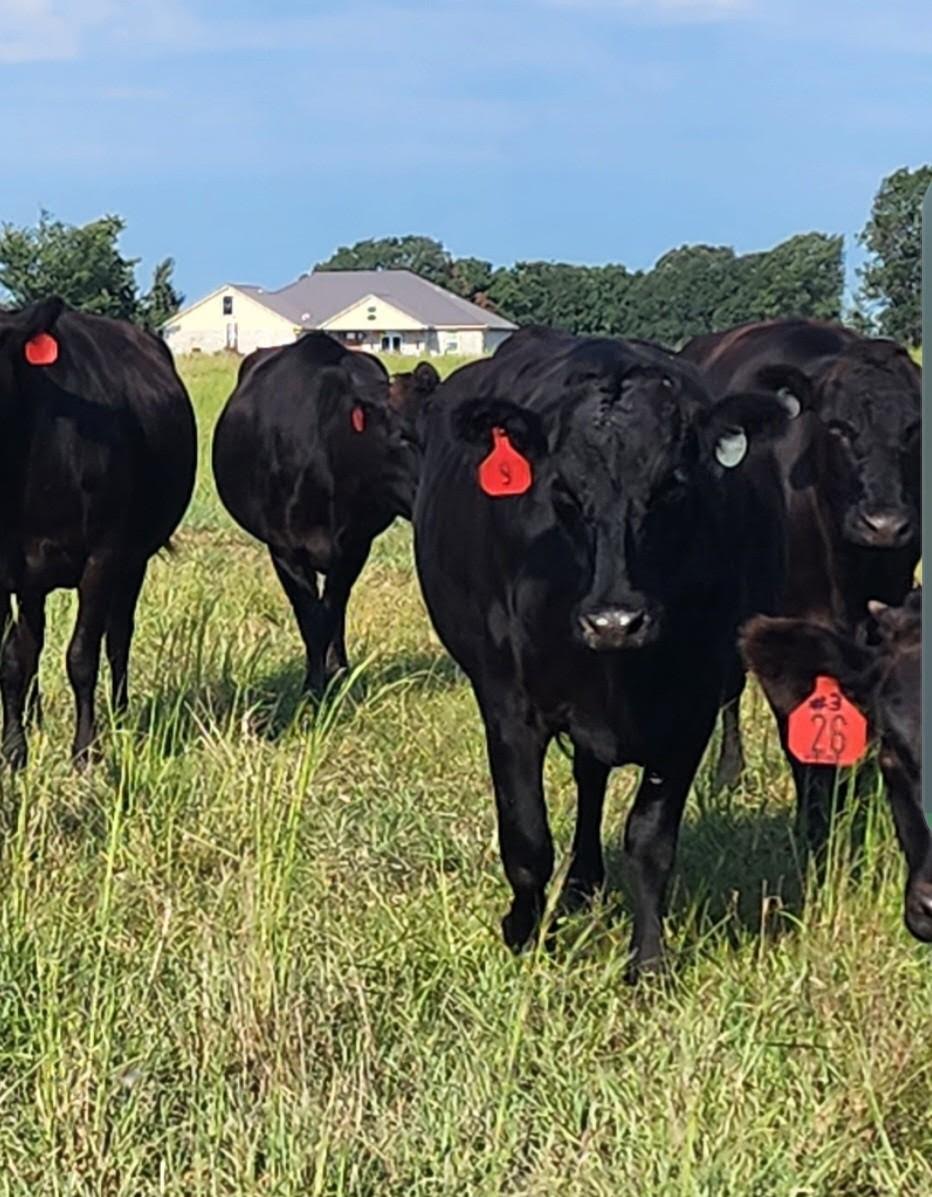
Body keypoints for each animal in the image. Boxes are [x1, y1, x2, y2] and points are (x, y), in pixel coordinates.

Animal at [0, 299, 195, 766]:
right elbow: (10, 659)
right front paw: (14, 750)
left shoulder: (102, 556)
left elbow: (82, 655)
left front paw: (86, 750)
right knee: (31, 643)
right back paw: (33, 719)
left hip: (134, 558)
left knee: (118, 635)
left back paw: (120, 714)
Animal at [212, 332, 440, 699]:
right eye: (401, 437)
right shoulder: (284, 548)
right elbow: (311, 617)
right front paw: (312, 688)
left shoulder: (355, 545)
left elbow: (333, 608)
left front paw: (338, 674)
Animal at [416, 325, 794, 971]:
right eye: (563, 493)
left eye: (670, 488)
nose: (614, 621)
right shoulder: (508, 705)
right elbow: (527, 840)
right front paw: (523, 935)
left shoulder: (691, 708)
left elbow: (649, 842)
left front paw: (649, 963)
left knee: (591, 780)